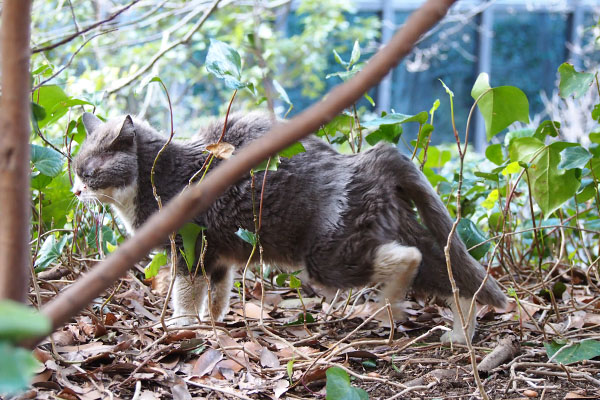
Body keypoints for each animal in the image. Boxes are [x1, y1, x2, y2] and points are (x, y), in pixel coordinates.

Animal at [72, 111, 508, 342]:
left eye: (88, 174)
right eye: (74, 171)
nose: (76, 191)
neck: (159, 175)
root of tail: (370, 158)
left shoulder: (191, 246)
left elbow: (187, 292)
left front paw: (182, 327)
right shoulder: (219, 255)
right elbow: (218, 293)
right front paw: (214, 324)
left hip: (328, 258)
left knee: (408, 259)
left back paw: (389, 306)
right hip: (389, 226)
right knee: (453, 276)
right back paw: (459, 334)